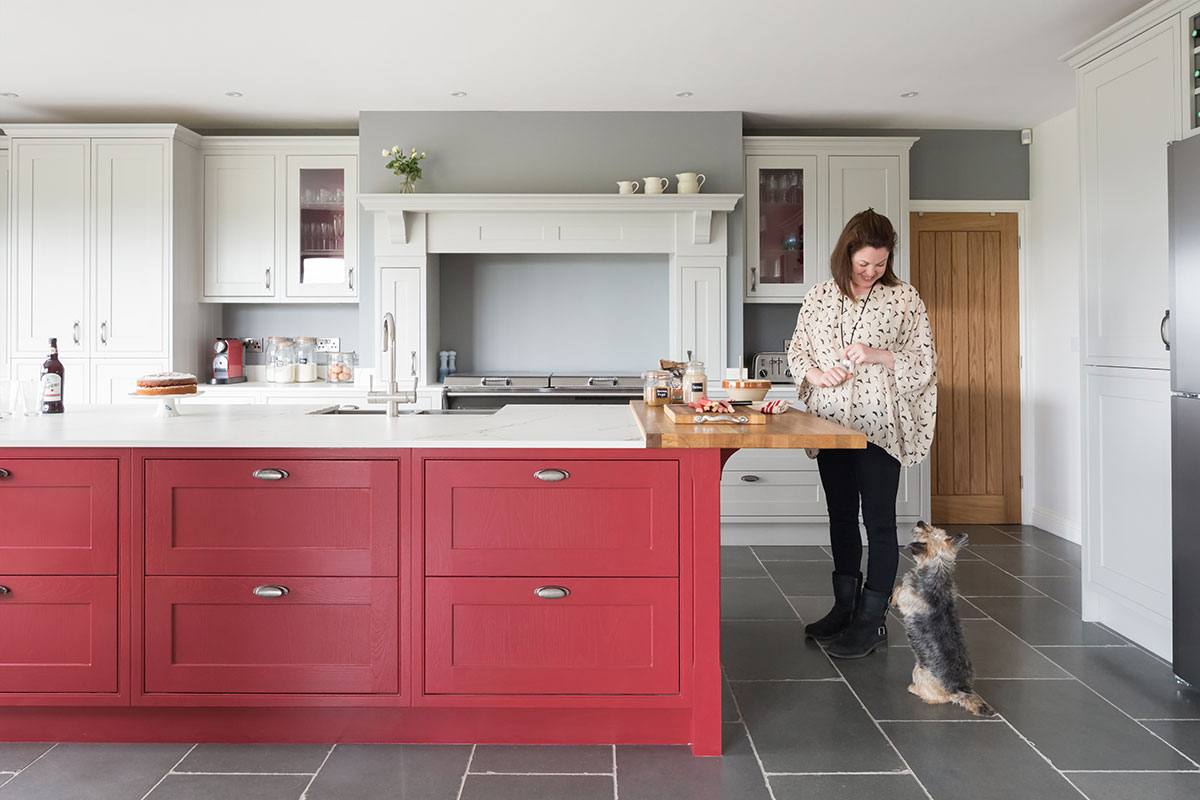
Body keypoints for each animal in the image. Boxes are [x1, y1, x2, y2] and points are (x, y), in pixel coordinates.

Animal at [897, 520, 998, 719]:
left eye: (924, 532)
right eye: (932, 528)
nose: (920, 521)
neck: (939, 571)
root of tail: (959, 688)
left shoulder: (907, 597)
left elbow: (899, 591)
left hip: (919, 671)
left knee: (933, 698)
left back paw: (914, 689)